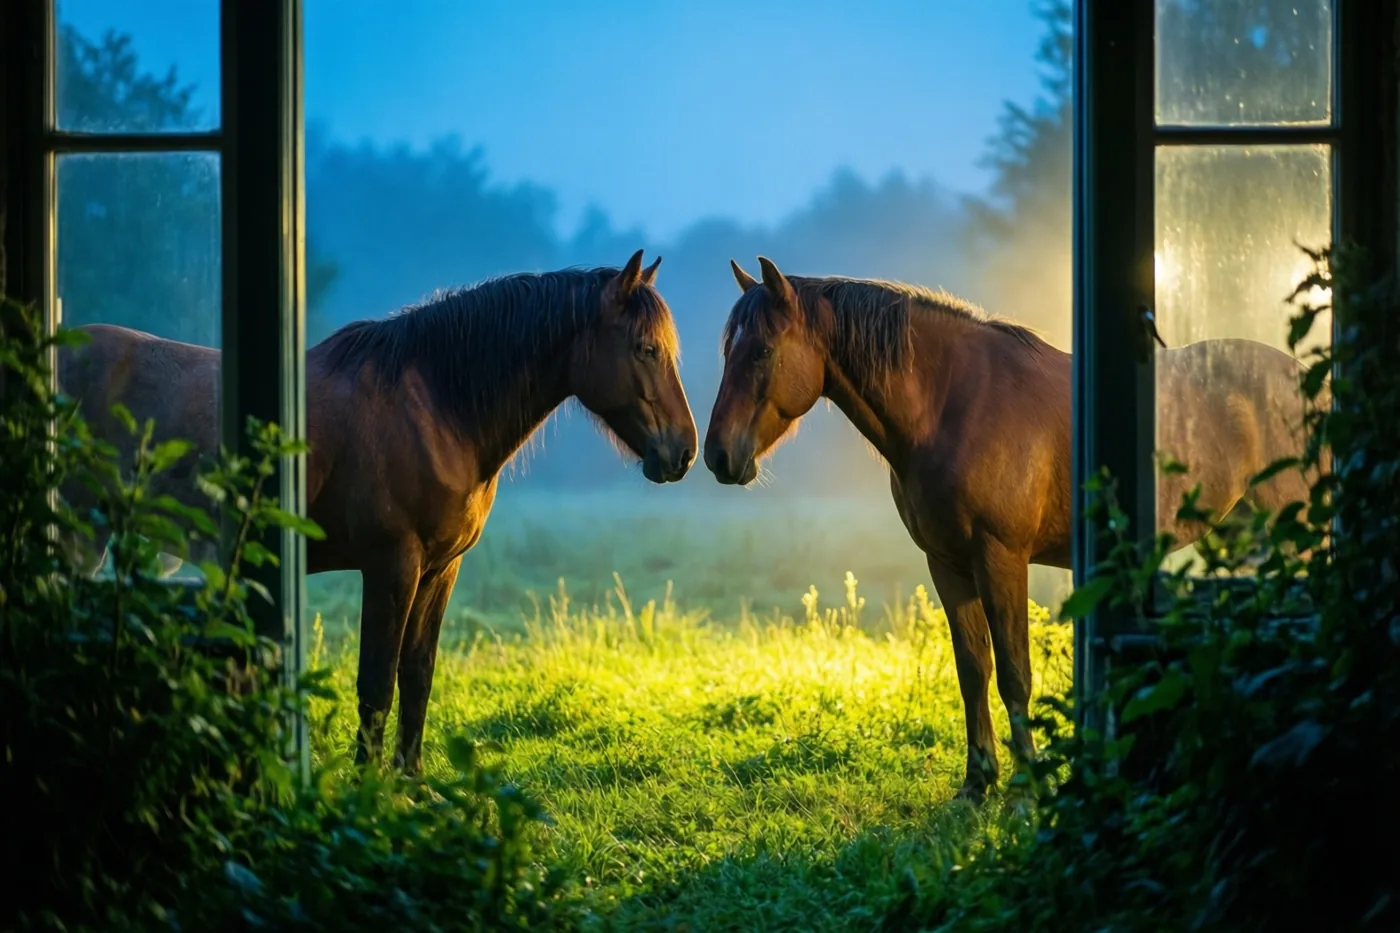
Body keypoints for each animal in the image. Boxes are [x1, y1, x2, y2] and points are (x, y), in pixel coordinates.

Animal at [57, 249, 698, 774]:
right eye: (645, 349)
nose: (685, 452)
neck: (437, 407)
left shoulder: (440, 570)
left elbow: (416, 678)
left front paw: (409, 781)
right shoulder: (391, 568)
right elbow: (375, 685)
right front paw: (368, 789)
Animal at [703, 256, 1322, 802]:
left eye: (761, 350)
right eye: (727, 349)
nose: (717, 456)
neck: (951, 406)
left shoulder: (1001, 558)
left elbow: (1015, 675)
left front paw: (1028, 788)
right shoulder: (946, 564)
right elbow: (973, 671)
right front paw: (978, 783)